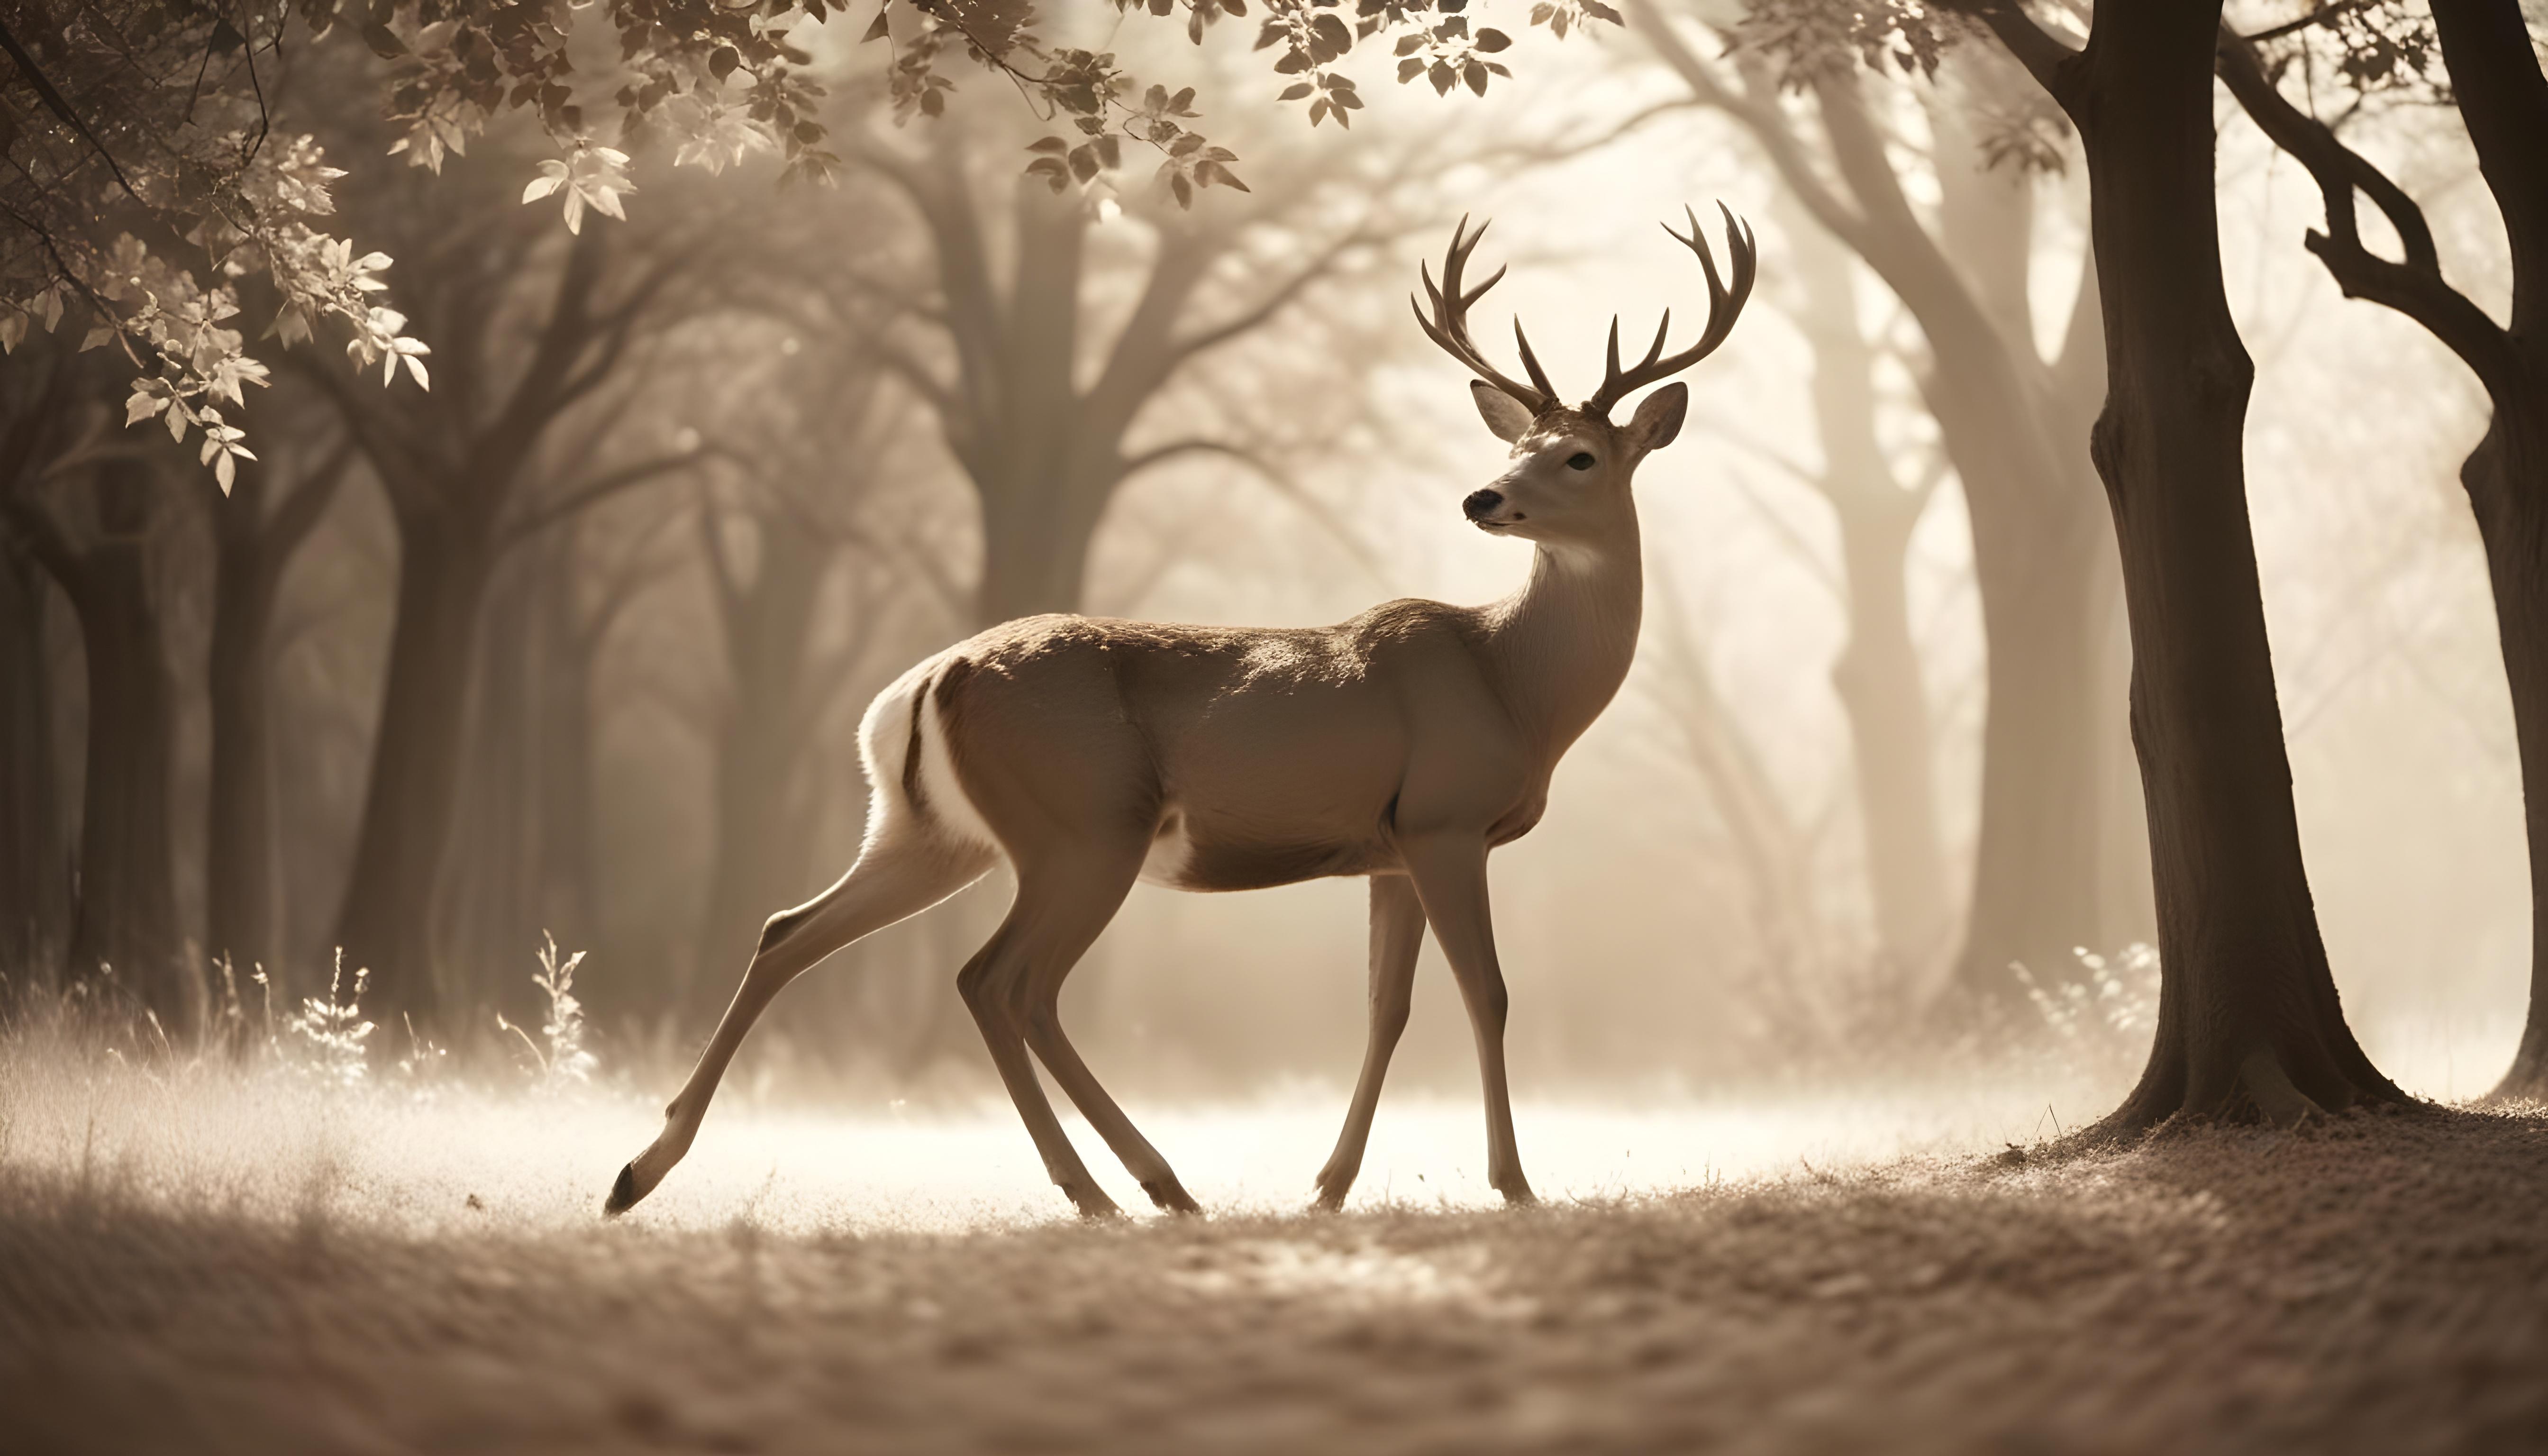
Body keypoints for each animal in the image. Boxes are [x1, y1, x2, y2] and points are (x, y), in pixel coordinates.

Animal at [604, 205, 1756, 1220]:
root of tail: (933, 680)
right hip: (1082, 826)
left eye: (1578, 455)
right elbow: (1489, 994)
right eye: (1521, 448)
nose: (1484, 499)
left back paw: (639, 1173)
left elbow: (1386, 1009)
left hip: (933, 831)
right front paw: (1513, 1183)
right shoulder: (1445, 821)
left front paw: (1329, 1185)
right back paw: (1135, 1186)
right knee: (1003, 981)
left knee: (791, 933)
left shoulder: (1388, 850)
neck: (1513, 679)